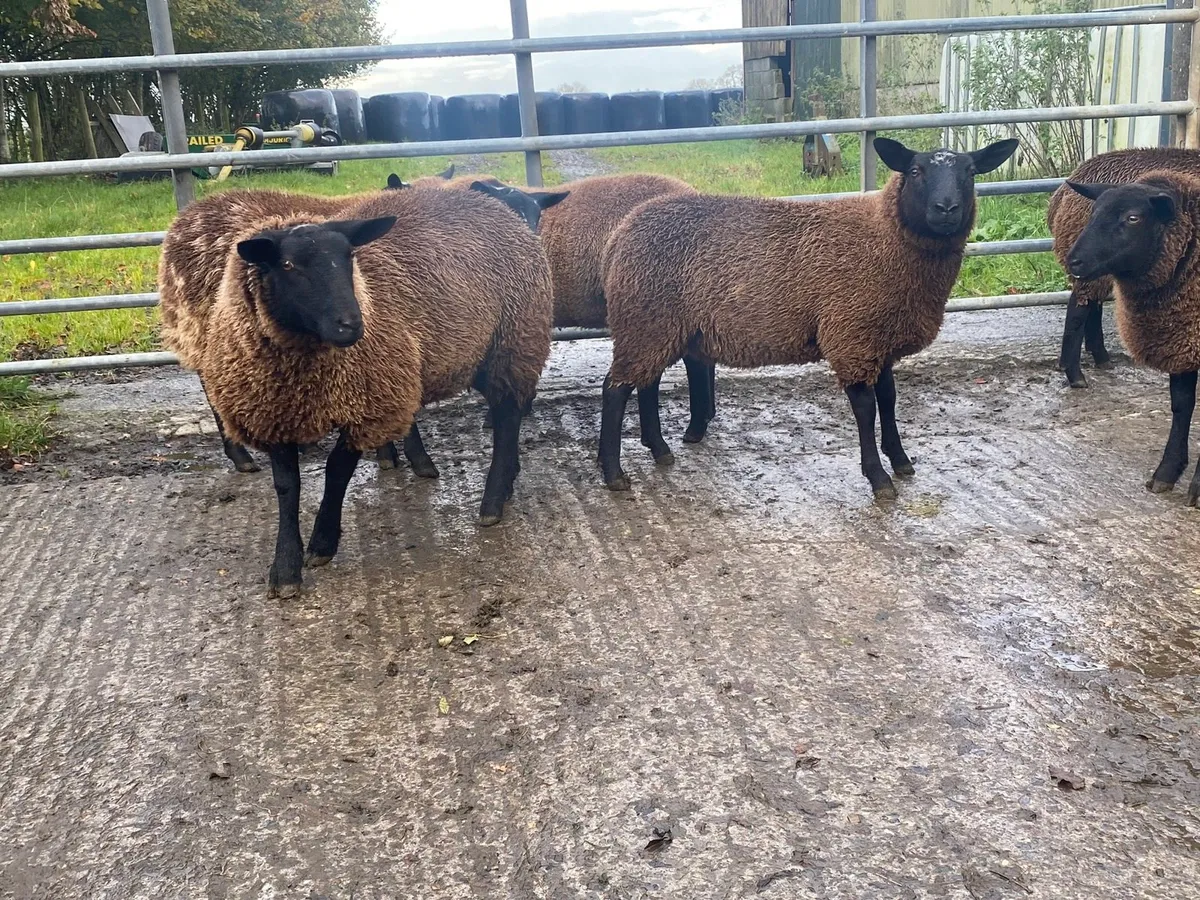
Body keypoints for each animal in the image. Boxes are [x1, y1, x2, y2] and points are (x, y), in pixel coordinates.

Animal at [159, 187, 554, 597]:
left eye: (348, 257)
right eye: (287, 265)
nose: (351, 325)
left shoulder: (369, 404)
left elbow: (337, 471)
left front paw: (322, 542)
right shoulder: (274, 412)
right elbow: (287, 486)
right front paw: (285, 568)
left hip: (512, 342)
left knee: (507, 417)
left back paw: (492, 502)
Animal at [596, 136, 1019, 501]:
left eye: (970, 171)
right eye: (916, 170)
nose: (946, 209)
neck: (885, 240)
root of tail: (621, 234)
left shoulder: (879, 338)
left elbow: (889, 399)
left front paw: (900, 460)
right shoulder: (851, 334)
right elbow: (865, 408)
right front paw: (878, 477)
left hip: (658, 324)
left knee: (645, 383)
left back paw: (658, 450)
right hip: (645, 317)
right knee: (616, 389)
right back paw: (614, 473)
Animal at [1063, 170, 1200, 506]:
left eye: (1133, 218)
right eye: (1094, 212)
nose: (1074, 261)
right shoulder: (1182, 339)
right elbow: (1181, 405)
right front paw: (1167, 472)